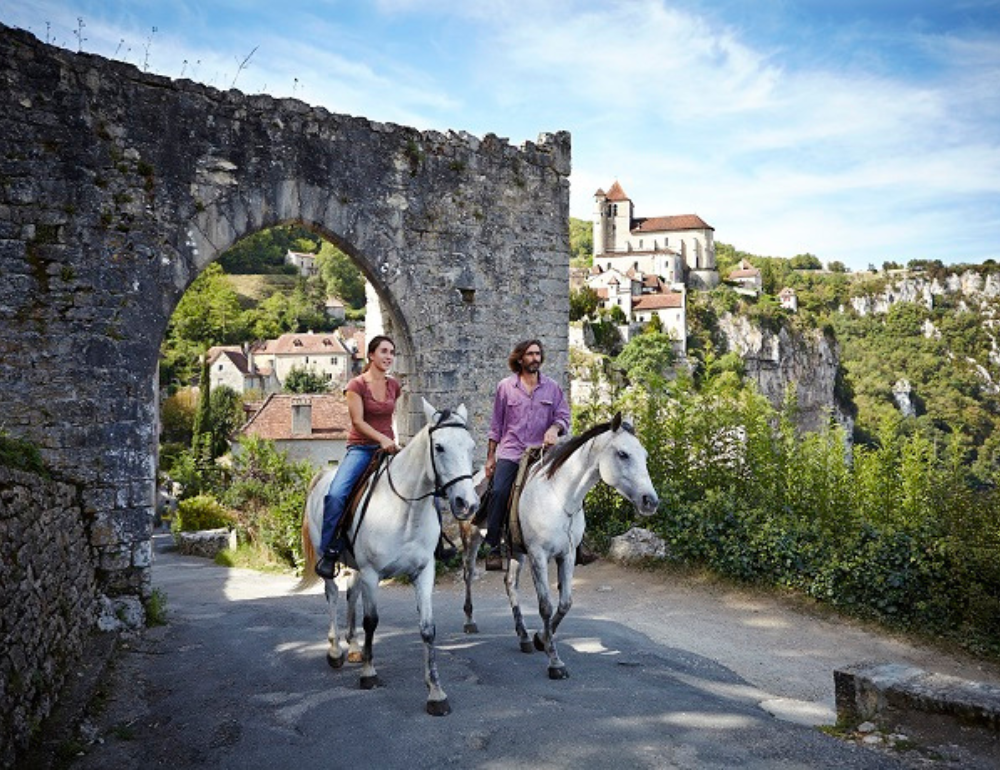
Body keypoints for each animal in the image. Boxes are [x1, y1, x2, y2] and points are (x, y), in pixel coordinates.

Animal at [298, 396, 478, 712]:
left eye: (470, 446)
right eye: (439, 447)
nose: (467, 504)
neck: (406, 511)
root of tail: (322, 476)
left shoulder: (424, 573)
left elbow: (427, 628)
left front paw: (436, 692)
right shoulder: (373, 574)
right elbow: (372, 621)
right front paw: (369, 673)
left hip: (355, 565)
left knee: (351, 593)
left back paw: (353, 647)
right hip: (329, 558)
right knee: (332, 595)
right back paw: (335, 650)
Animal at [458, 414, 660, 680]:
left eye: (644, 455)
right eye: (623, 454)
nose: (651, 501)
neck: (559, 497)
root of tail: (476, 475)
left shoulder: (567, 554)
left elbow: (565, 603)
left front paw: (540, 639)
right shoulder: (539, 555)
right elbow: (545, 606)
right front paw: (555, 662)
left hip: (516, 551)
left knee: (510, 583)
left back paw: (524, 637)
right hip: (472, 539)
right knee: (469, 574)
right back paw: (470, 621)